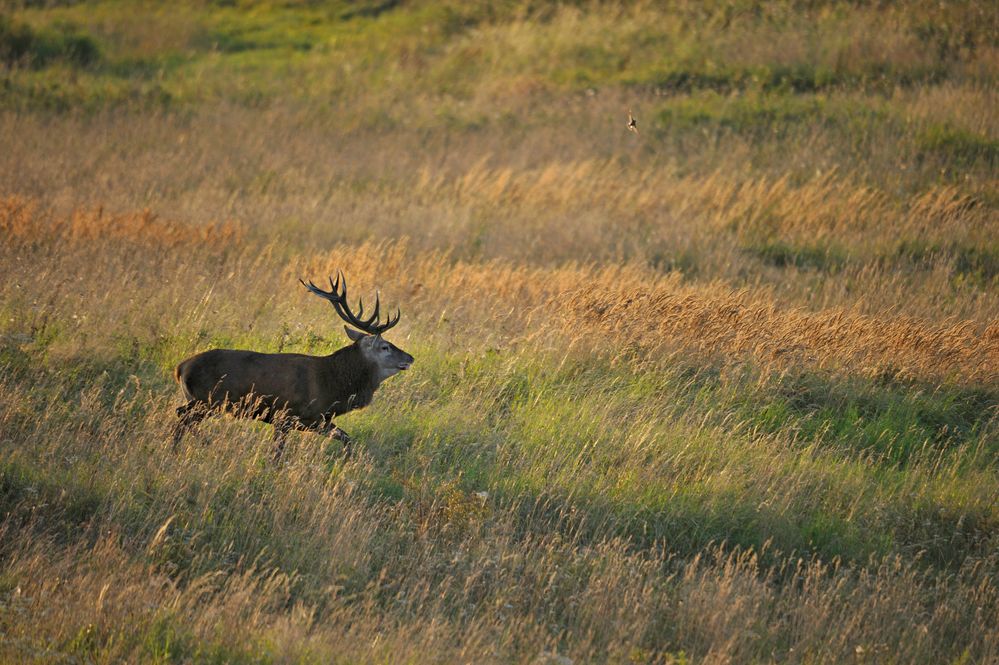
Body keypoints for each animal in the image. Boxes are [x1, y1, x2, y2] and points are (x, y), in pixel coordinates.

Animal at [170, 272, 412, 460]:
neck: (331, 386)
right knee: (182, 416)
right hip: (207, 399)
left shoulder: (317, 421)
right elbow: (277, 454)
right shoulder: (284, 415)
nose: (410, 358)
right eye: (385, 347)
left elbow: (347, 439)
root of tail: (181, 368)